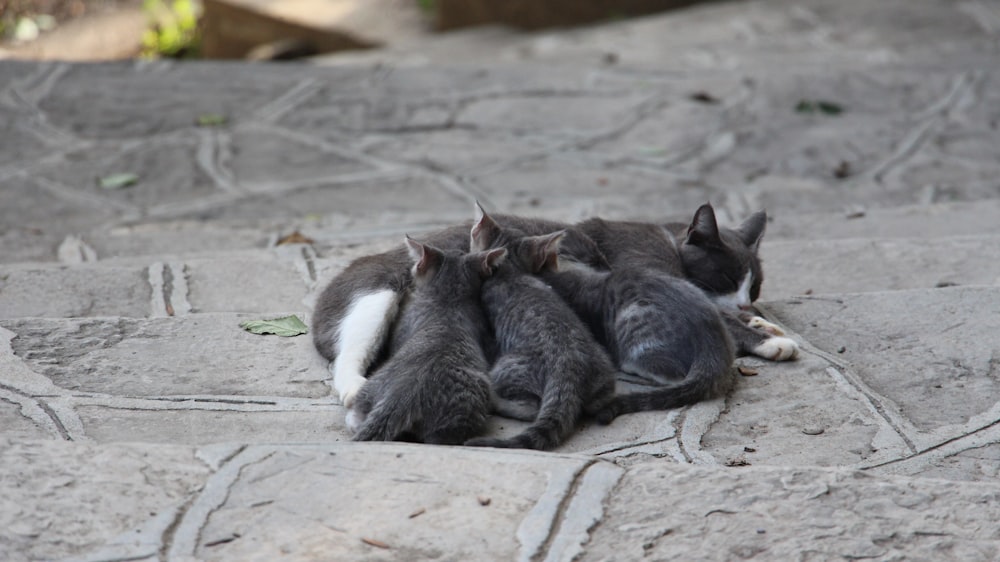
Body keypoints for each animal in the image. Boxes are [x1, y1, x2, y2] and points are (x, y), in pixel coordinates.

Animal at [460, 210, 616, 450]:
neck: (510, 271)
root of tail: (568, 370)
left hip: (507, 366)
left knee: (531, 408)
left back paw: (496, 401)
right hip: (603, 369)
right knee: (596, 404)